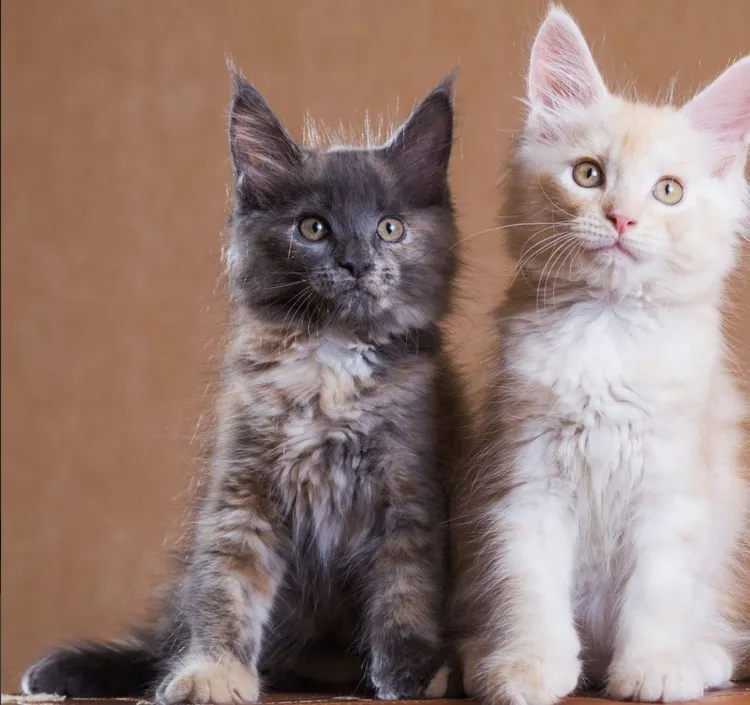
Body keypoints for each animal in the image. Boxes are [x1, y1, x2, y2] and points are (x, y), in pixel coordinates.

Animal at [23, 69, 468, 700]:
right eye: (313, 228)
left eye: (390, 229)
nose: (357, 263)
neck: (330, 363)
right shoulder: (242, 486)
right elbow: (225, 587)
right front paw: (212, 671)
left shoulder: (411, 489)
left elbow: (407, 587)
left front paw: (413, 673)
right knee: (168, 635)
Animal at [456, 5, 750, 704]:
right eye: (588, 174)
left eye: (668, 191)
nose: (621, 220)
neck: (609, 329)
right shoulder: (527, 482)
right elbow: (528, 589)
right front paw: (528, 667)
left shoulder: (673, 489)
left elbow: (659, 592)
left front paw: (655, 668)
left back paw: (701, 658)